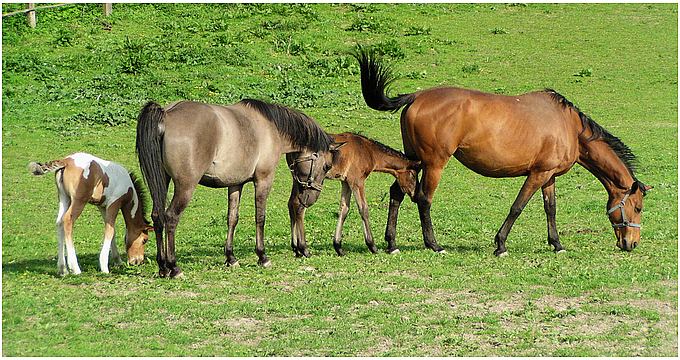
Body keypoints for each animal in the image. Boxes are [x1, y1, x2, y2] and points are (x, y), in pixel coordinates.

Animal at [136, 98, 342, 278]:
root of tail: (167, 114)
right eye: (326, 166)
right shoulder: (263, 180)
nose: (309, 199)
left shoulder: (235, 184)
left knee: (158, 216)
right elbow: (260, 217)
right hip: (185, 186)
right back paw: (174, 267)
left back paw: (163, 266)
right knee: (171, 218)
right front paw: (262, 256)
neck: (270, 127)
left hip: (163, 181)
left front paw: (231, 257)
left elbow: (232, 219)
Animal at [286, 131, 420, 258]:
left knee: (292, 203)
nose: (415, 195)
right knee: (300, 206)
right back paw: (304, 248)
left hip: (296, 179)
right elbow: (363, 209)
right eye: (413, 175)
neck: (369, 151)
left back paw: (296, 248)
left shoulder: (346, 181)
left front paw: (338, 247)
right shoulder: (357, 181)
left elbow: (344, 209)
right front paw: (372, 246)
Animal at [354, 47, 652, 256]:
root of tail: (417, 96)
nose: (632, 243)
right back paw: (434, 245)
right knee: (424, 199)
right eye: (637, 207)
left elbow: (551, 209)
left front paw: (556, 244)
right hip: (433, 164)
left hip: (410, 161)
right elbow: (517, 207)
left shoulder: (549, 176)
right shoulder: (537, 174)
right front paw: (500, 245)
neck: (570, 127)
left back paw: (391, 242)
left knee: (397, 193)